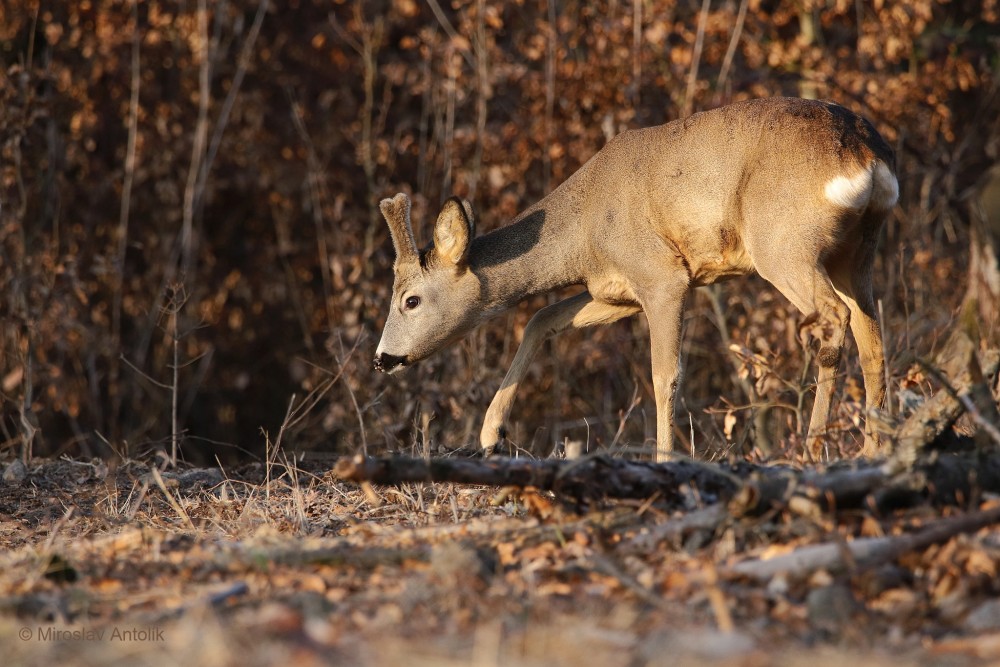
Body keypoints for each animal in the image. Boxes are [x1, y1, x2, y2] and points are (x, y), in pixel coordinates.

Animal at [372, 99, 896, 462]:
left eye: (410, 300)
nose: (382, 359)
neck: (584, 228)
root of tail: (866, 155)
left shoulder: (663, 275)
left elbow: (664, 374)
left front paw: (666, 458)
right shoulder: (616, 290)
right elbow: (543, 317)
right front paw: (490, 434)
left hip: (783, 244)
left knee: (834, 317)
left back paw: (813, 448)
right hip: (858, 252)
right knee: (872, 338)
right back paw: (873, 450)